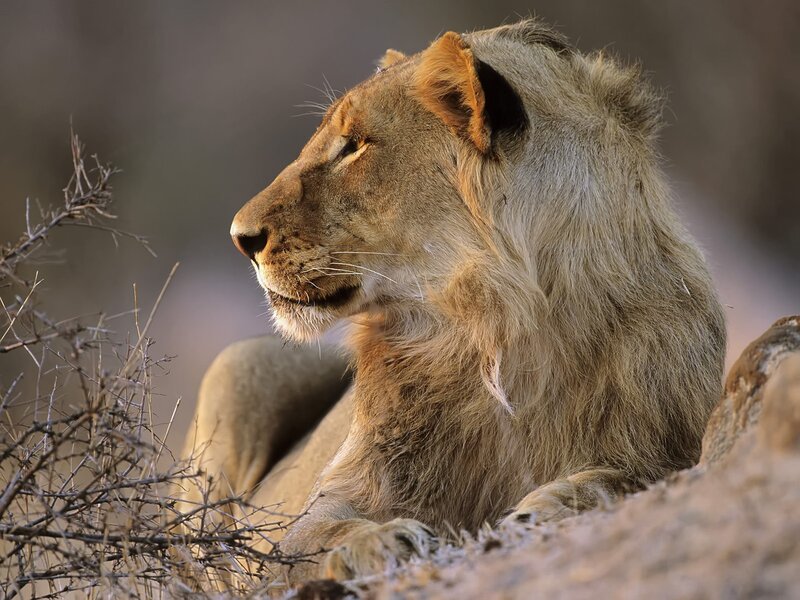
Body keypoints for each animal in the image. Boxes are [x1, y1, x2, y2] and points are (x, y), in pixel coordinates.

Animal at [178, 19, 726, 586]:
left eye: (354, 146)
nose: (240, 237)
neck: (498, 328)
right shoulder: (324, 507)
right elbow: (315, 537)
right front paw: (380, 541)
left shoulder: (674, 442)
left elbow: (630, 476)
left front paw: (550, 503)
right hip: (239, 363)